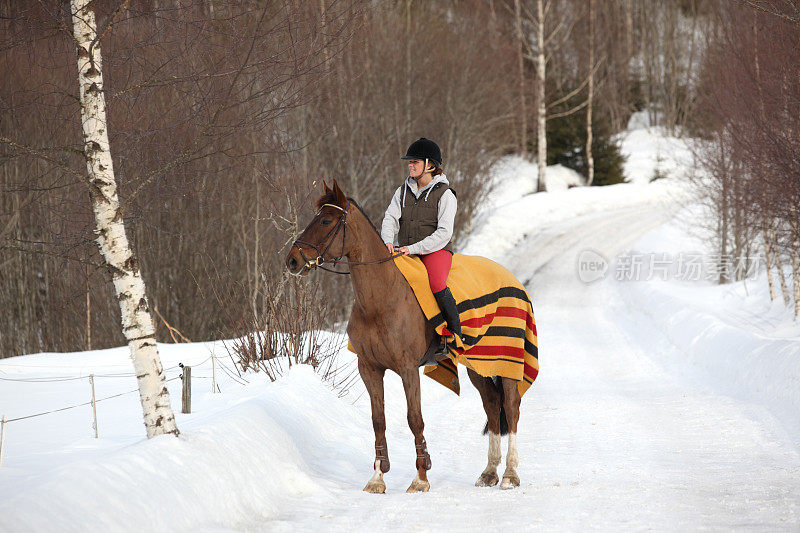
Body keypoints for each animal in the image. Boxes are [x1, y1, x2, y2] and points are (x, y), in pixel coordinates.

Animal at [284, 181, 520, 492]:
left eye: (325, 221)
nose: (292, 260)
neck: (381, 301)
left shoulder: (408, 368)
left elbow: (415, 419)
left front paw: (421, 477)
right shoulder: (369, 368)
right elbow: (378, 420)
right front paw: (377, 477)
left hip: (506, 361)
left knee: (511, 408)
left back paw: (510, 475)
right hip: (478, 366)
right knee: (492, 407)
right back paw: (489, 472)